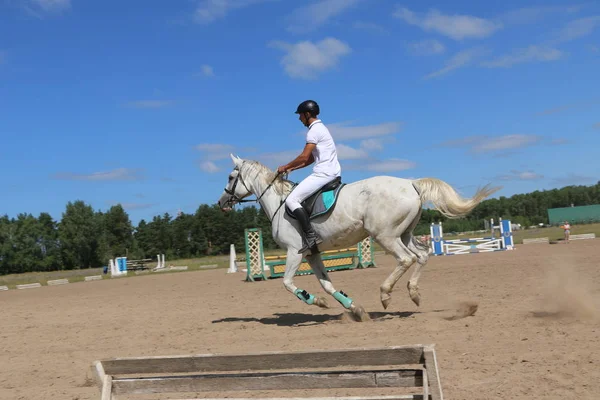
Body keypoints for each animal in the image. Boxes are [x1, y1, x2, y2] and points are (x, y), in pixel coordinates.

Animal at [218, 155, 500, 320]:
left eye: (231, 177)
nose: (221, 203)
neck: (278, 201)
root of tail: (411, 184)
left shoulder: (293, 252)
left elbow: (287, 283)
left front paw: (313, 300)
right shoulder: (312, 254)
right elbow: (327, 285)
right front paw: (352, 308)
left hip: (385, 236)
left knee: (405, 259)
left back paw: (386, 295)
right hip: (404, 233)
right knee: (421, 255)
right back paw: (414, 294)